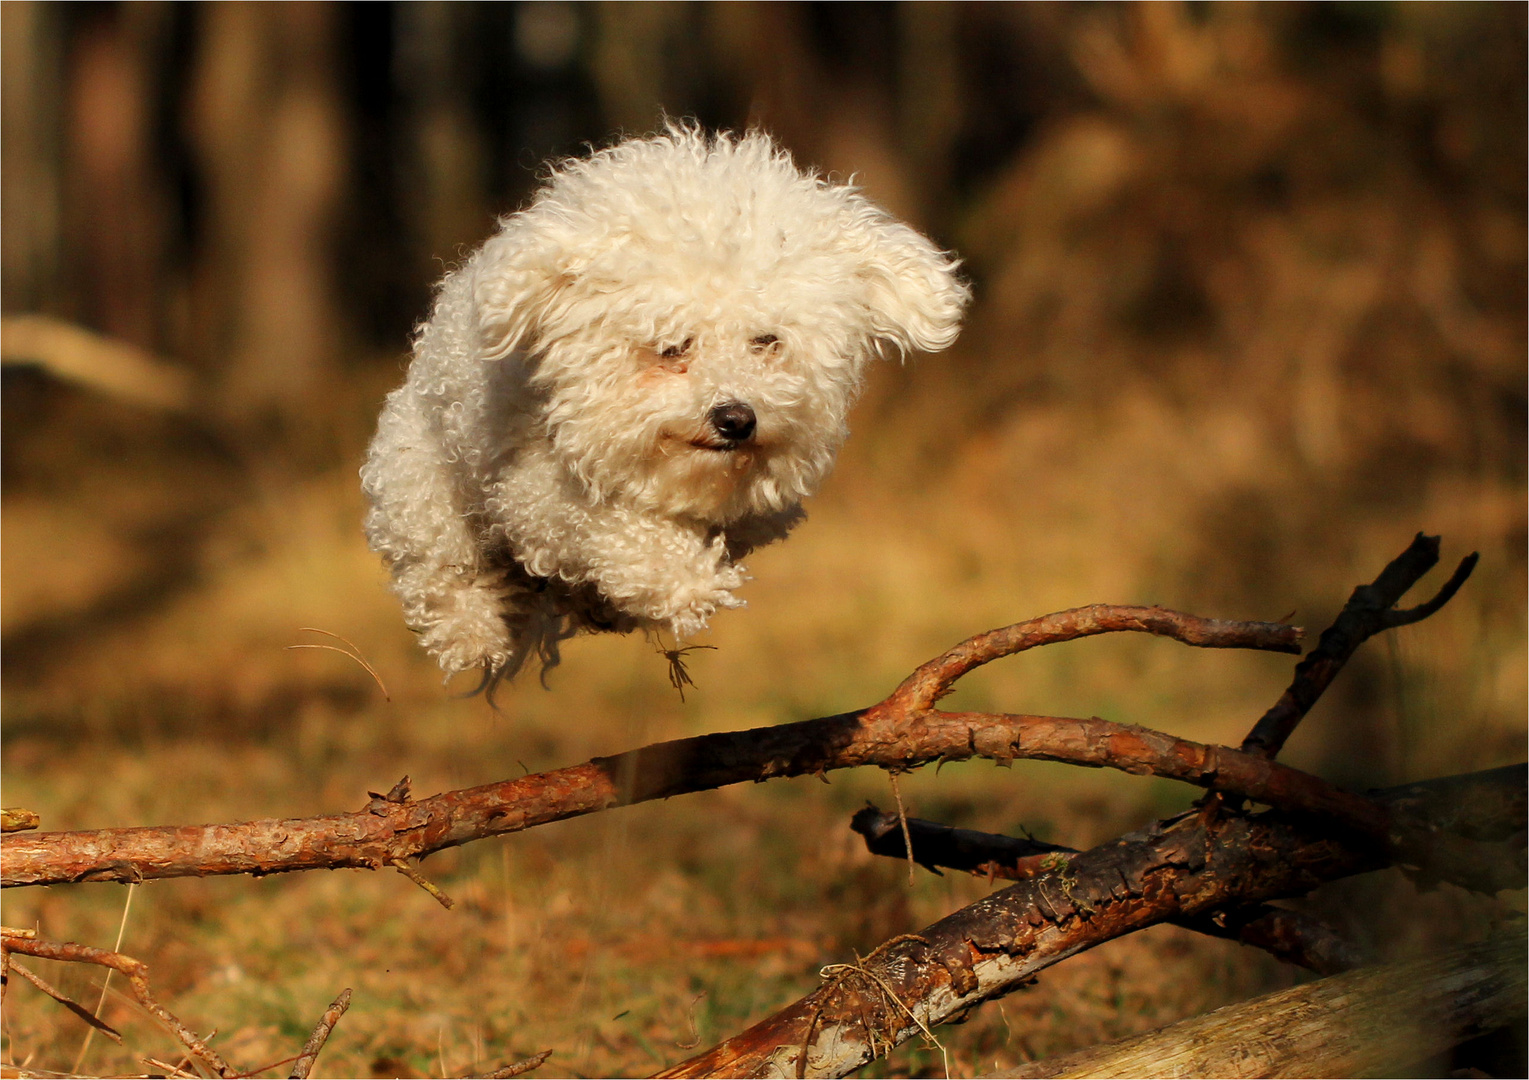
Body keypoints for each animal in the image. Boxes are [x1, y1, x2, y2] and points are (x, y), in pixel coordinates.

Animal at [357, 126, 966, 682]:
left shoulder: (759, 510)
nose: (736, 418)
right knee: (442, 569)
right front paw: (685, 580)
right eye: (672, 346)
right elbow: (606, 523)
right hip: (420, 486)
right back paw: (472, 632)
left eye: (767, 341)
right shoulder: (532, 488)